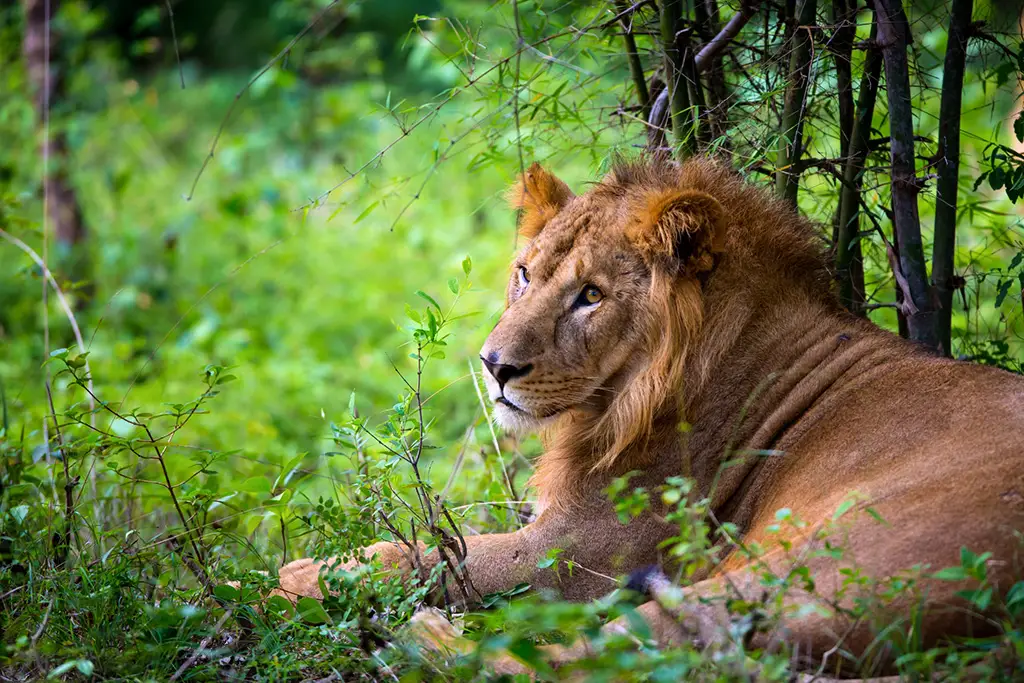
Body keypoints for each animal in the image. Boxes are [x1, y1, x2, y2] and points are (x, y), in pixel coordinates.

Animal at [276, 157, 1024, 676]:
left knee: (585, 663)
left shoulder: (584, 551)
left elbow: (427, 556)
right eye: (525, 273)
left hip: (809, 570)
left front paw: (300, 576)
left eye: (591, 295)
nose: (493, 365)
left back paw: (421, 640)